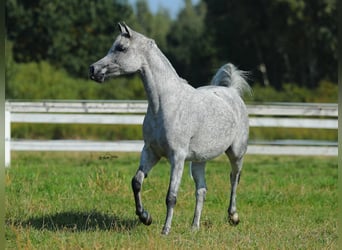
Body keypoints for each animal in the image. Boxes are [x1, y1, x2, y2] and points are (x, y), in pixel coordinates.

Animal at [89, 22, 251, 235]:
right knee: (201, 190)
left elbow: (171, 196)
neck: (166, 104)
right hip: (199, 161)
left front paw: (165, 230)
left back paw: (233, 217)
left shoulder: (177, 157)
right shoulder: (151, 152)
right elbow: (136, 182)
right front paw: (145, 217)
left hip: (236, 153)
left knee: (234, 179)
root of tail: (232, 92)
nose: (93, 69)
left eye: (121, 48)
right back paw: (194, 227)